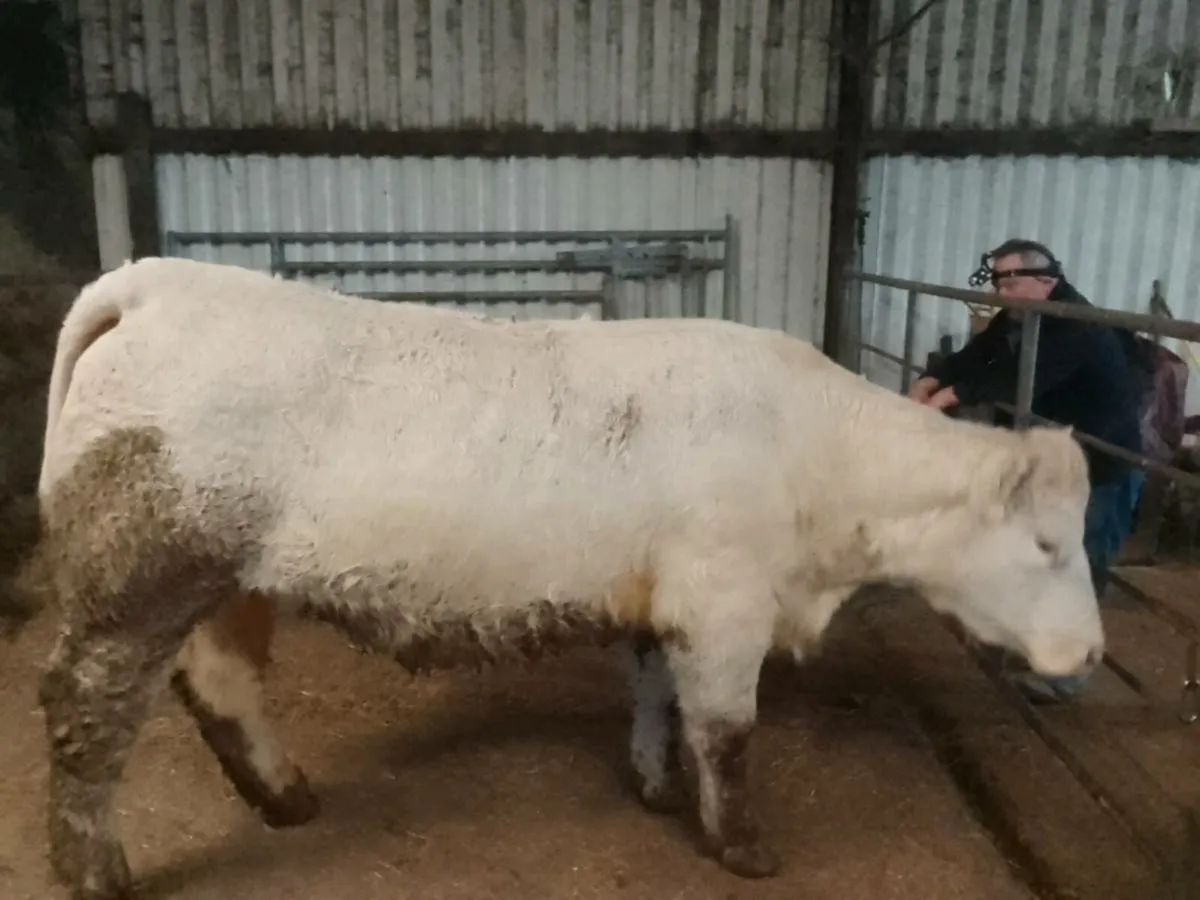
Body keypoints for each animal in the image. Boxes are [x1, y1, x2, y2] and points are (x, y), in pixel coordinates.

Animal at [13, 256, 1103, 899]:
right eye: (1050, 544)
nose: (1092, 653)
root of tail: (157, 280)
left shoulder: (666, 602)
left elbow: (657, 699)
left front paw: (656, 787)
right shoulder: (725, 602)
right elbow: (727, 731)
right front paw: (742, 846)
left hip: (224, 575)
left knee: (222, 680)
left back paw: (287, 800)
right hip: (138, 575)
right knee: (84, 709)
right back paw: (96, 870)